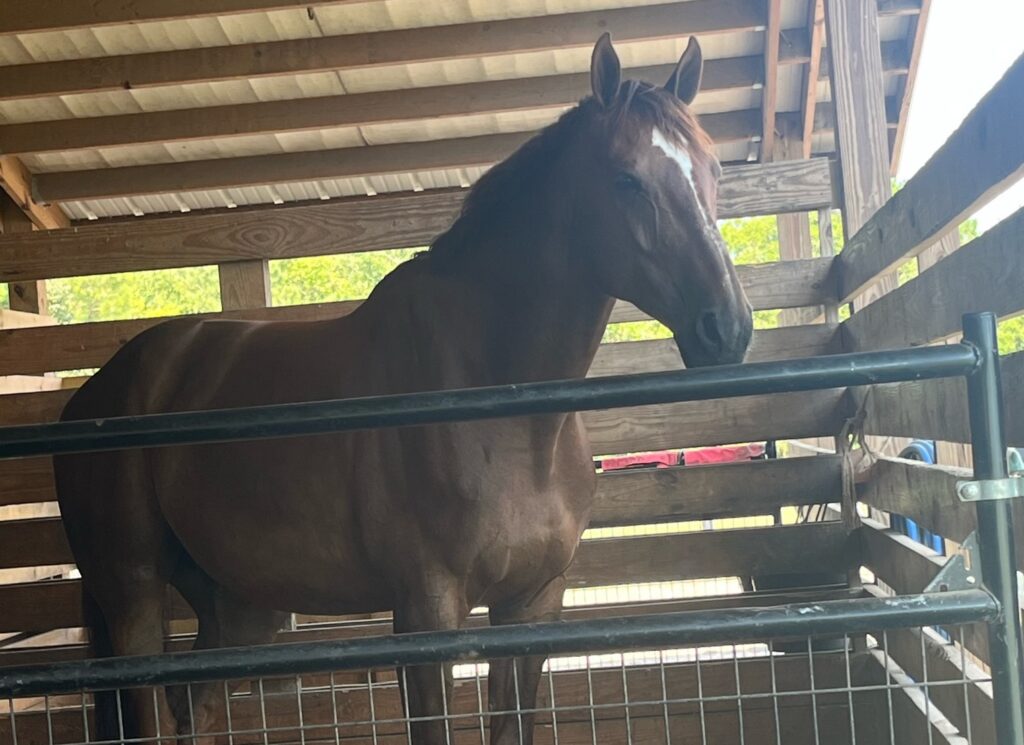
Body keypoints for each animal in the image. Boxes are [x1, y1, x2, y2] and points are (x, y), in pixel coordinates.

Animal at [54, 33, 753, 745]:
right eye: (626, 178)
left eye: (713, 170)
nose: (725, 328)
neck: (504, 408)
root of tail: (97, 393)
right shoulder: (426, 613)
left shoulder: (531, 607)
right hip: (134, 594)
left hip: (234, 605)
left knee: (193, 703)